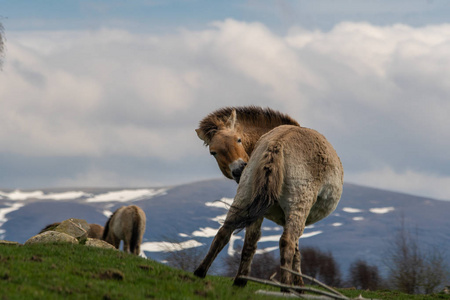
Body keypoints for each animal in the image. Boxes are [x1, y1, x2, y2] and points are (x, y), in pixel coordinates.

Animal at [193, 106, 344, 288]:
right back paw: (287, 288)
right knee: (287, 241)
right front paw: (299, 286)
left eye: (238, 140)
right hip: (299, 206)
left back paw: (202, 273)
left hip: (244, 198)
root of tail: (277, 144)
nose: (238, 170)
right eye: (213, 152)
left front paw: (241, 280)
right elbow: (296, 250)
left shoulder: (256, 212)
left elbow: (251, 241)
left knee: (224, 232)